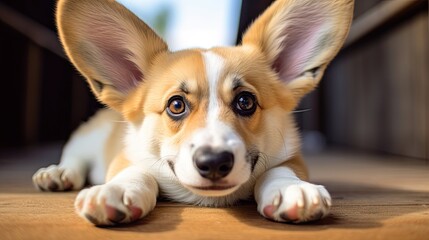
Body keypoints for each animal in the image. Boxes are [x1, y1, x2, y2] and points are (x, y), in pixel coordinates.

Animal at [33, 0, 352, 225]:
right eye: (176, 105)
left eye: (245, 101)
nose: (214, 162)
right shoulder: (126, 157)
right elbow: (136, 171)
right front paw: (114, 191)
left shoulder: (292, 158)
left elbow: (280, 170)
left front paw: (292, 189)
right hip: (87, 137)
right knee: (74, 158)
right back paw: (58, 174)